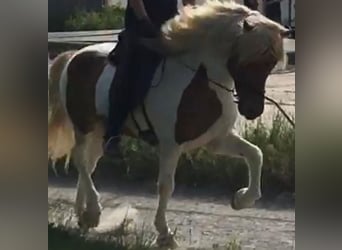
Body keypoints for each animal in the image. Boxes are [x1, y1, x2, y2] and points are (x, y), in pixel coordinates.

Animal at [48, 1, 288, 248]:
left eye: (270, 64)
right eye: (248, 62)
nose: (253, 110)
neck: (199, 81)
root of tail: (75, 55)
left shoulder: (216, 140)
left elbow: (255, 154)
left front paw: (241, 199)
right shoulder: (170, 145)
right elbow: (166, 186)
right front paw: (165, 234)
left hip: (99, 132)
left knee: (89, 164)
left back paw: (84, 215)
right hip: (82, 125)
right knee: (80, 160)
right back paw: (94, 212)